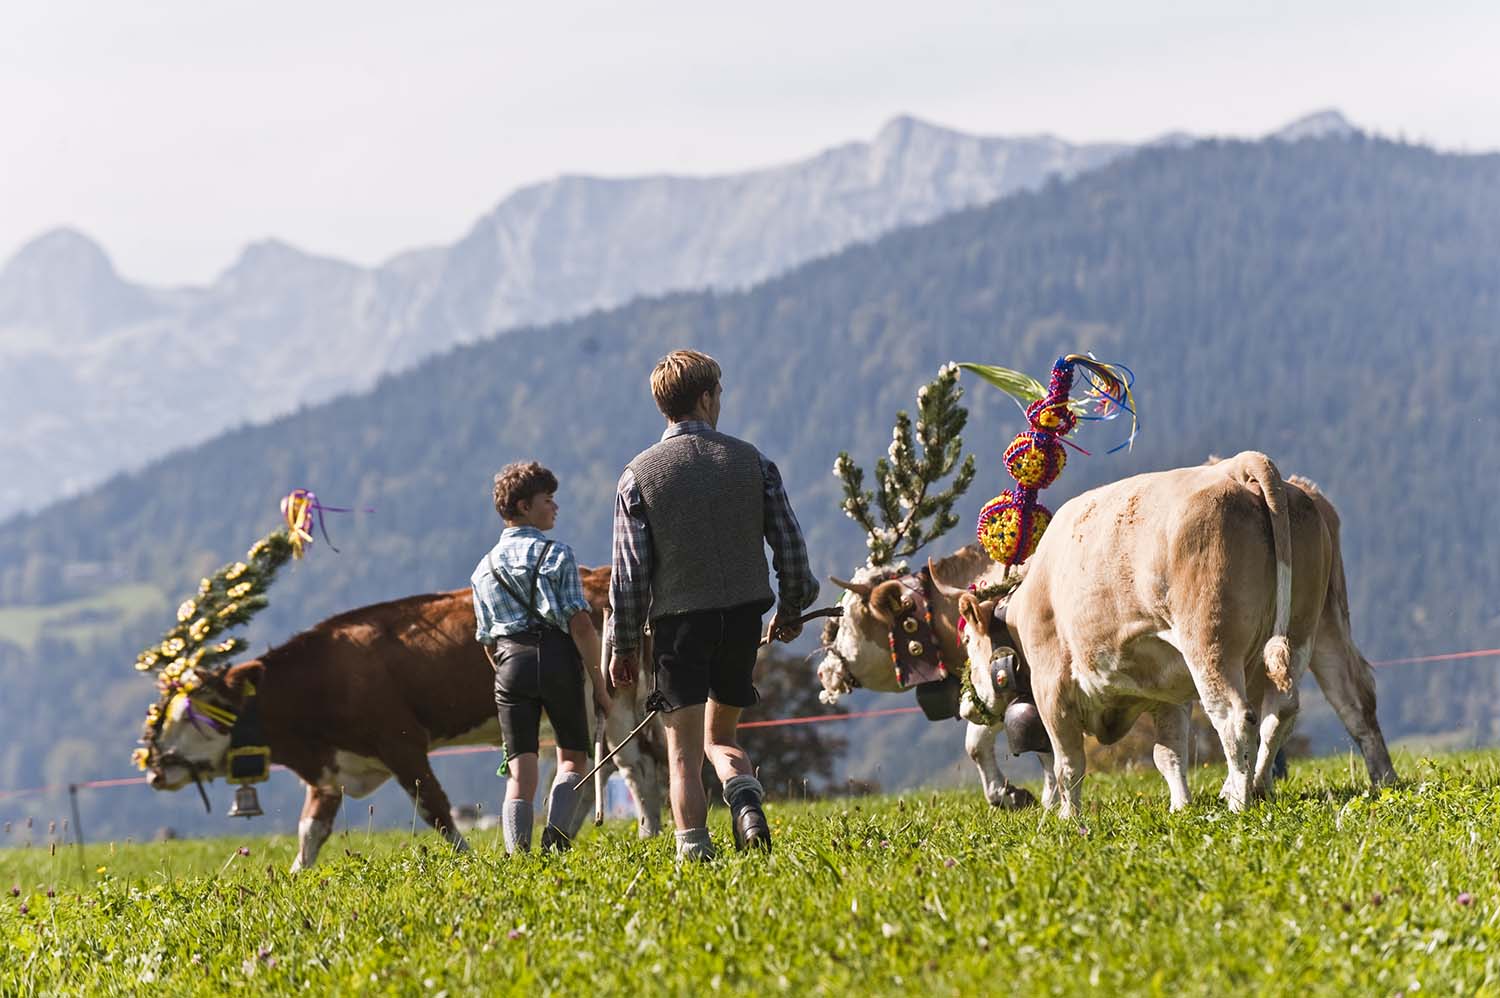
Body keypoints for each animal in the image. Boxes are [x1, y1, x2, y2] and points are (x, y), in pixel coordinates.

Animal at [141, 567, 663, 870]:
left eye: (200, 711)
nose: (155, 769)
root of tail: (598, 572)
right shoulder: (331, 770)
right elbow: (310, 831)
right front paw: (293, 880)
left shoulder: (402, 742)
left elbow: (436, 811)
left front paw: (469, 863)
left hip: (613, 700)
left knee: (634, 768)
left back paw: (648, 833)